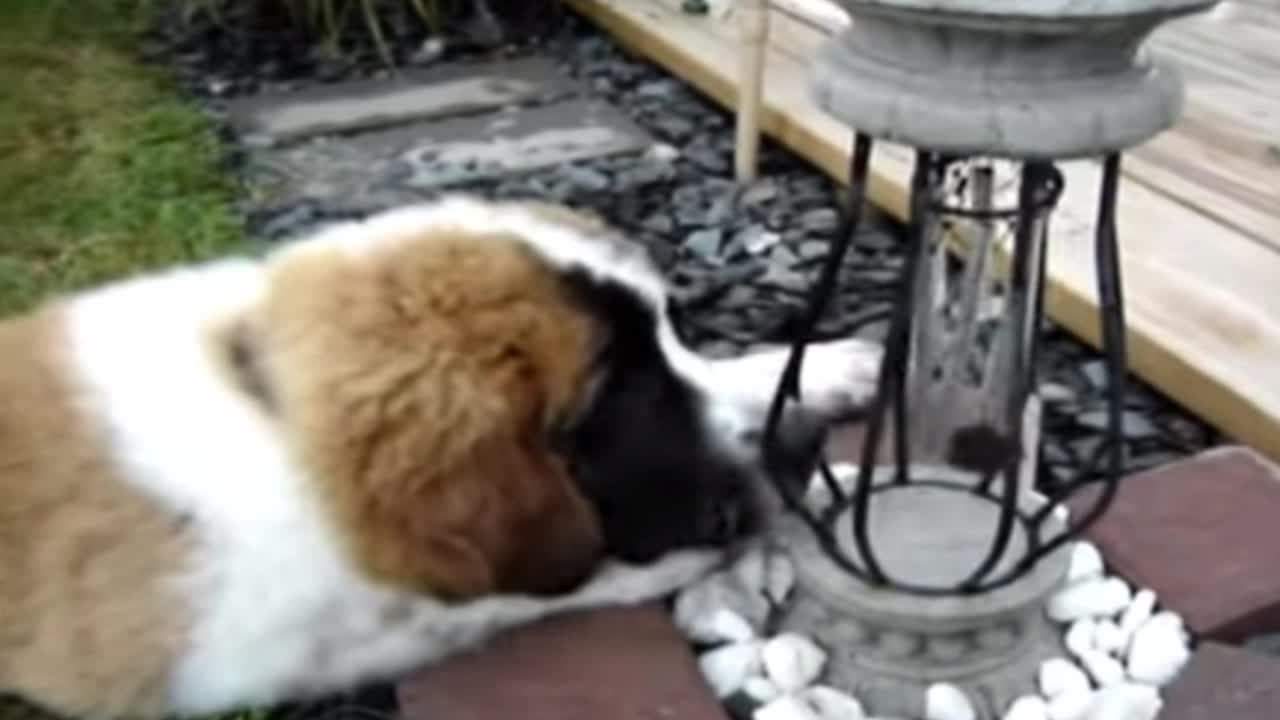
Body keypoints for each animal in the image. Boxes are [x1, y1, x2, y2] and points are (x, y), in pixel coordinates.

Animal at [0, 193, 880, 712]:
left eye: (670, 338)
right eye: (624, 396)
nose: (804, 441)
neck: (272, 402)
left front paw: (828, 367)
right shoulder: (273, 646)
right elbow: (533, 586)